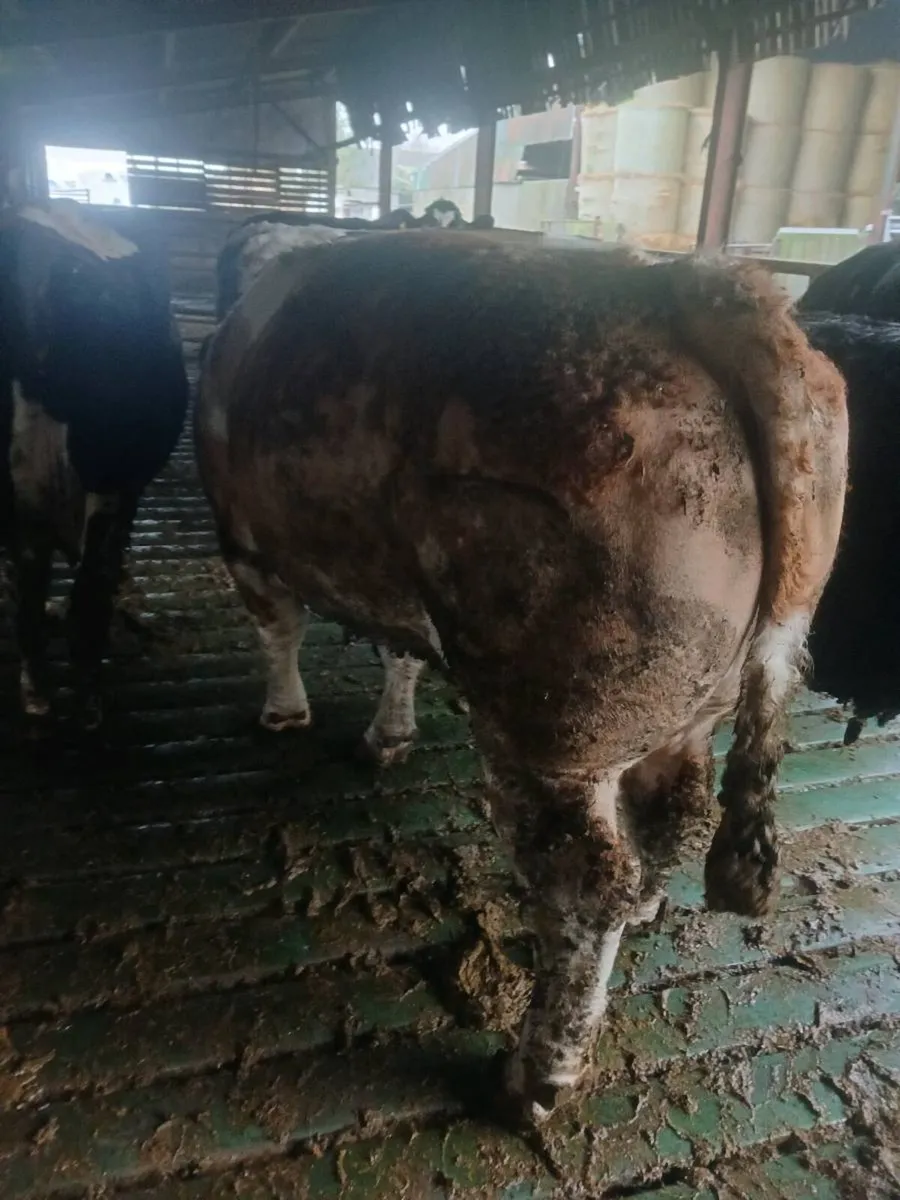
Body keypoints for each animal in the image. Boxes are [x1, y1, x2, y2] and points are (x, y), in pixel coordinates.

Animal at [195, 230, 847, 1122]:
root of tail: (691, 286)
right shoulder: (404, 594)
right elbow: (399, 653)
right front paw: (389, 734)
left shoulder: (241, 539)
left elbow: (279, 629)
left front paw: (284, 714)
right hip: (685, 701)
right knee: (671, 811)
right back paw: (649, 901)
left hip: (552, 729)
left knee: (585, 883)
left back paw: (537, 1076)